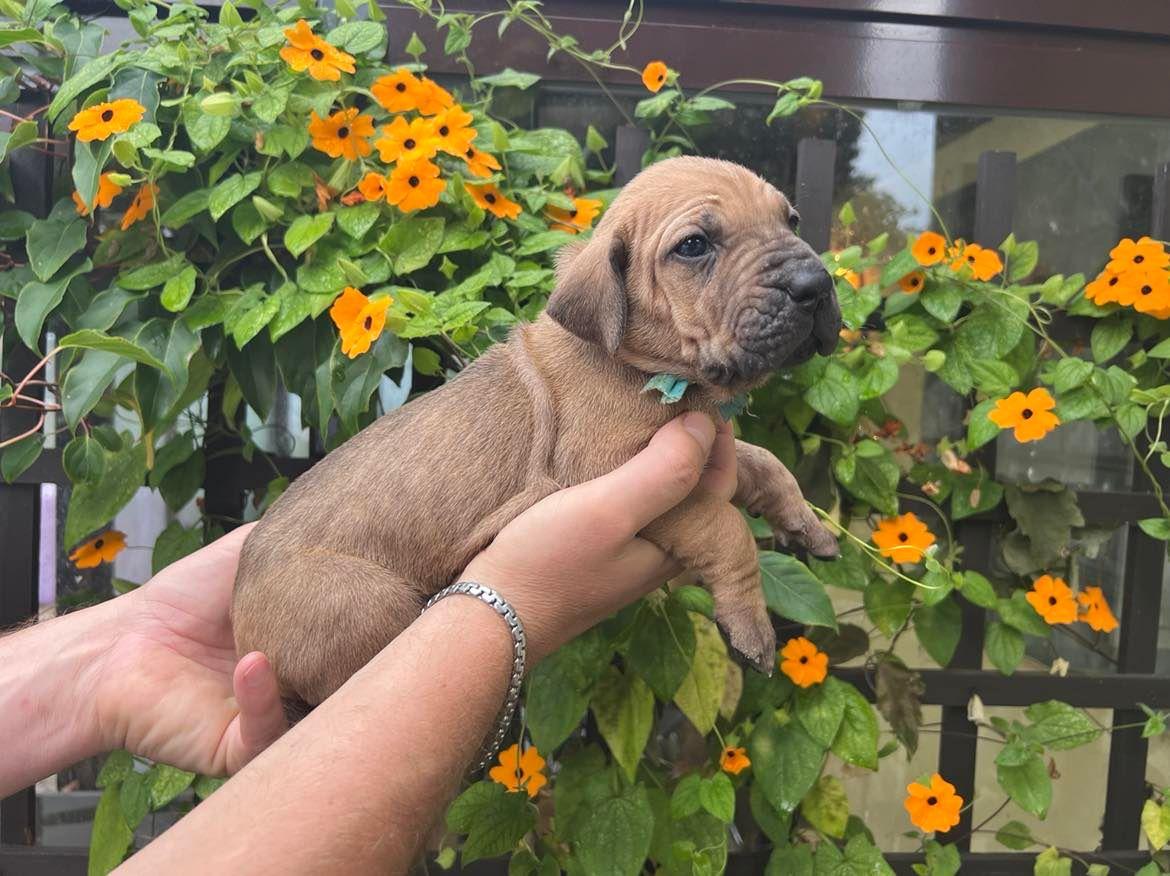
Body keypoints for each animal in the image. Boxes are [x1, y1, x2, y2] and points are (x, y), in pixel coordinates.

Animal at [232, 153, 842, 706]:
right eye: (693, 246)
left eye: (790, 221)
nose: (816, 283)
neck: (648, 372)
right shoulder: (623, 476)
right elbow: (724, 527)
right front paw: (751, 625)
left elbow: (765, 462)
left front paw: (803, 520)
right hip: (369, 605)